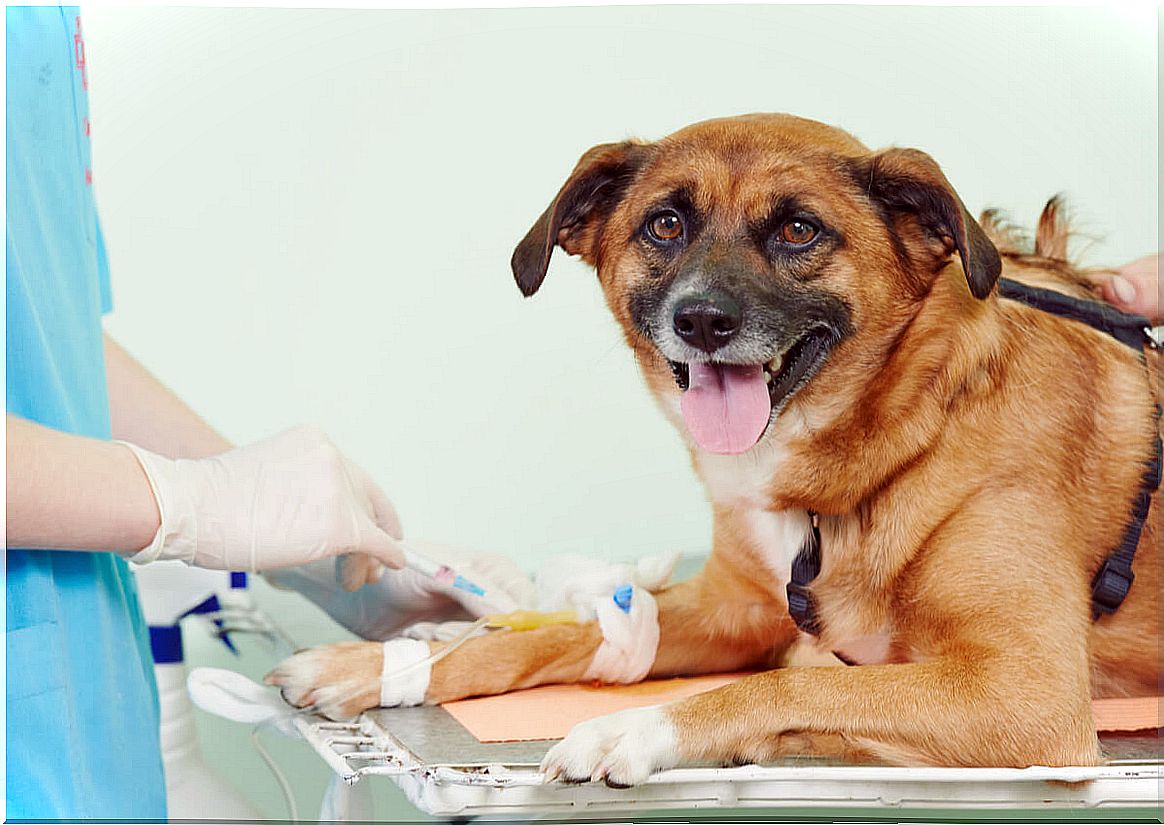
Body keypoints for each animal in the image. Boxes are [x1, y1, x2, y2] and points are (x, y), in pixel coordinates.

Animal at [270, 112, 1154, 781]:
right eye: (665, 224)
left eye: (798, 229)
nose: (701, 319)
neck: (888, 436)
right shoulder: (727, 609)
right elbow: (565, 632)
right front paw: (372, 665)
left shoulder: (1027, 696)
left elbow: (787, 688)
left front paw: (635, 727)